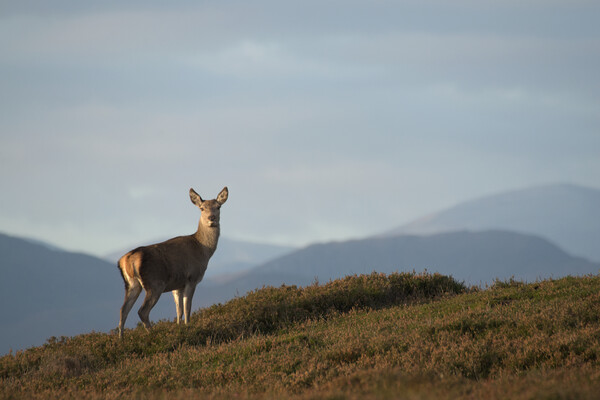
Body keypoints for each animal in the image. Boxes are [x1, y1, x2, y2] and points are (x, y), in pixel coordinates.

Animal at [116, 186, 227, 336]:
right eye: (202, 208)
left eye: (218, 206)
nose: (212, 218)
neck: (203, 250)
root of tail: (127, 259)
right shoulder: (192, 278)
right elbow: (187, 308)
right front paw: (188, 327)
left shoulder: (177, 285)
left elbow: (178, 310)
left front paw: (179, 328)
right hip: (155, 283)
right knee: (142, 311)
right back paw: (153, 334)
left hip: (132, 284)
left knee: (123, 310)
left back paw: (121, 338)